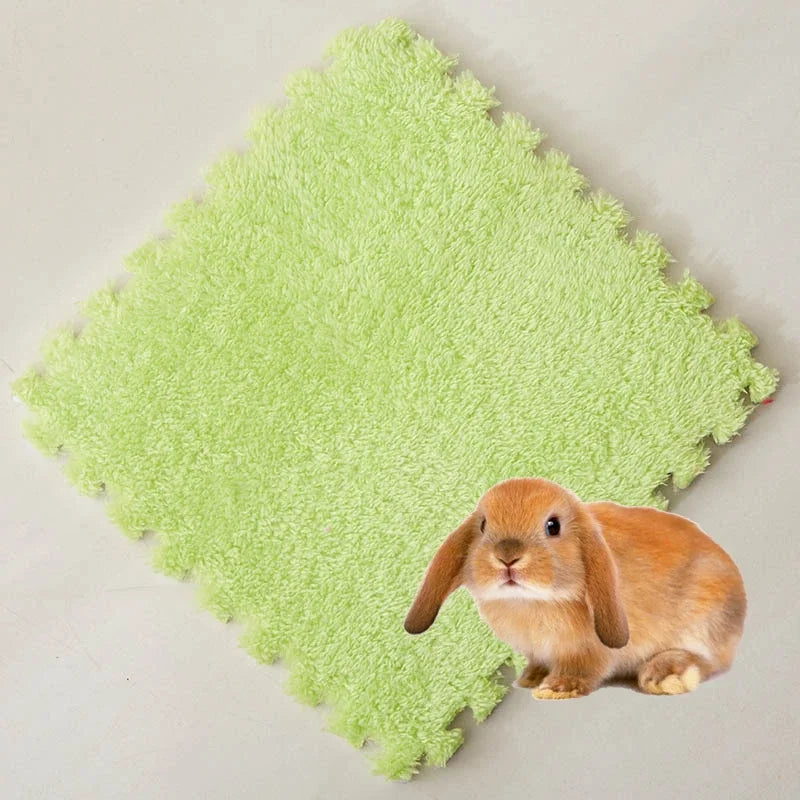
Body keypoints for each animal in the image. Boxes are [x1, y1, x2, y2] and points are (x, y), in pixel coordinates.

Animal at [404, 477, 746, 699]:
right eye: (484, 525)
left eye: (552, 526)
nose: (507, 557)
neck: (529, 602)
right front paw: (531, 679)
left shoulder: (588, 650)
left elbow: (583, 668)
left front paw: (555, 689)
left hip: (703, 619)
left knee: (710, 662)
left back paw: (665, 676)